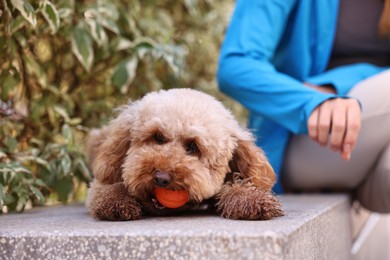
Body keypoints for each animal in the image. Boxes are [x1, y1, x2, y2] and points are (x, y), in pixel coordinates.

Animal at [85, 88, 284, 220]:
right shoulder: (101, 180)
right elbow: (109, 187)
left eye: (193, 147)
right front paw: (117, 201)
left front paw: (249, 198)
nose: (161, 178)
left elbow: (238, 183)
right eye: (158, 137)